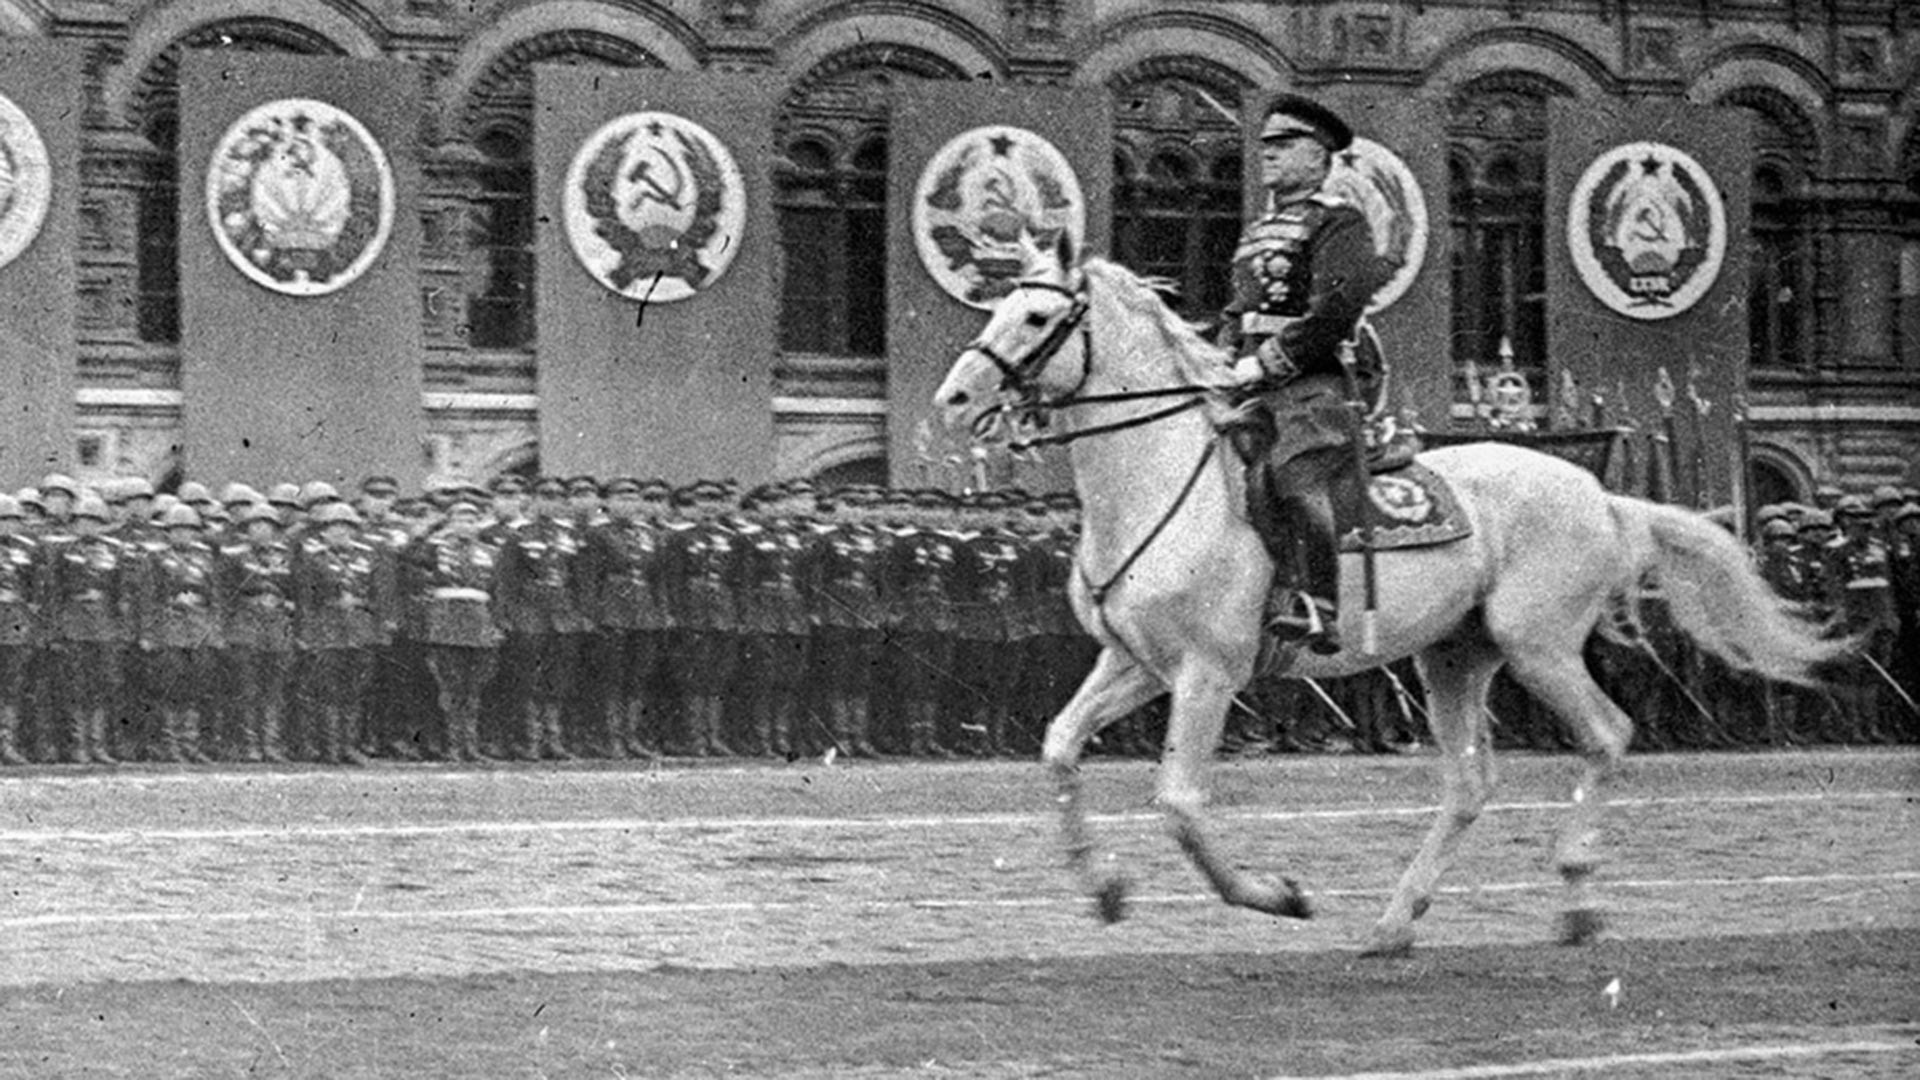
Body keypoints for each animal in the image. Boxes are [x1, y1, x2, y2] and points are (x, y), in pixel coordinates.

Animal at [929, 235, 1843, 949]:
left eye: (1037, 319)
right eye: (1001, 305)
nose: (955, 399)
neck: (1160, 484)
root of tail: (1599, 494)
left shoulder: (1206, 673)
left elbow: (1180, 804)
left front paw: (1276, 895)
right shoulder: (1135, 663)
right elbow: (1059, 747)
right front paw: (1105, 886)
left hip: (1537, 645)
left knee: (1608, 735)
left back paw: (1577, 898)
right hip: (1456, 658)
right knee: (1470, 786)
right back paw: (1397, 921)